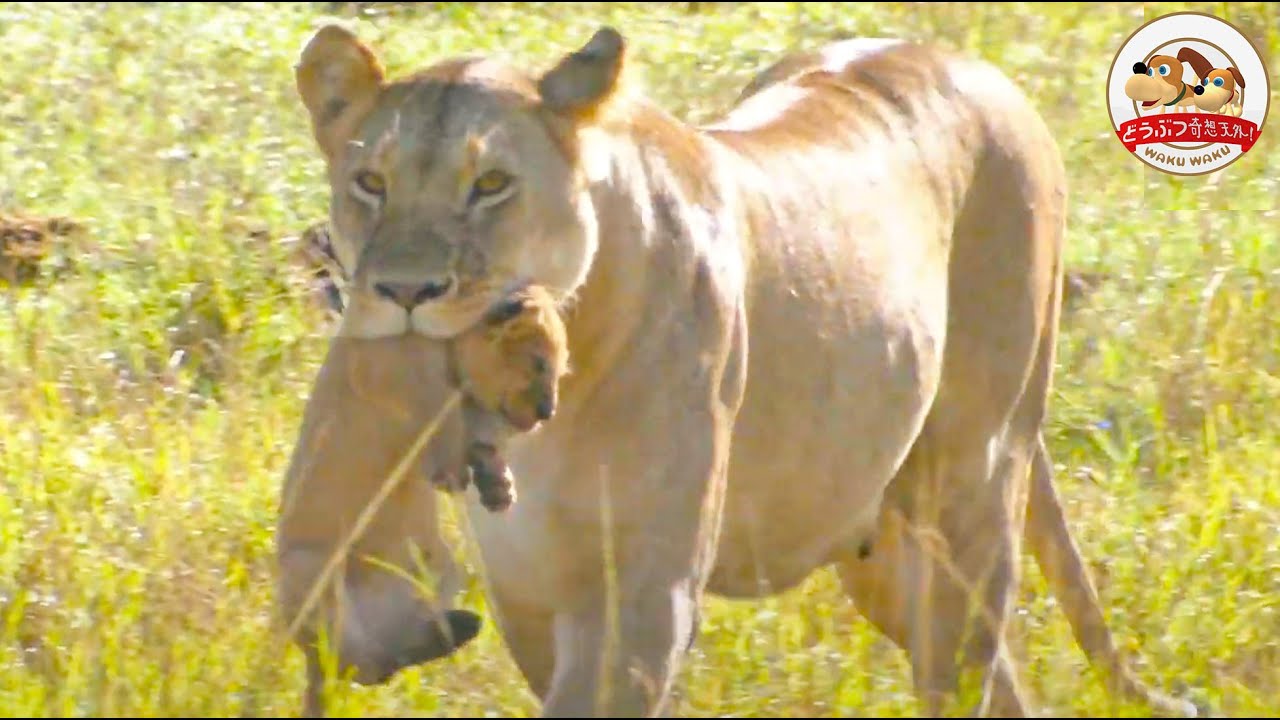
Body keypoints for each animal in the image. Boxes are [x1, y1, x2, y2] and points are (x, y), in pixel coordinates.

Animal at [279, 21, 1201, 719]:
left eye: (492, 184)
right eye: (370, 182)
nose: (404, 292)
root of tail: (968, 61)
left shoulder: (643, 595)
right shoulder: (526, 590)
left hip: (977, 475)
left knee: (967, 659)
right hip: (883, 547)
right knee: (991, 679)